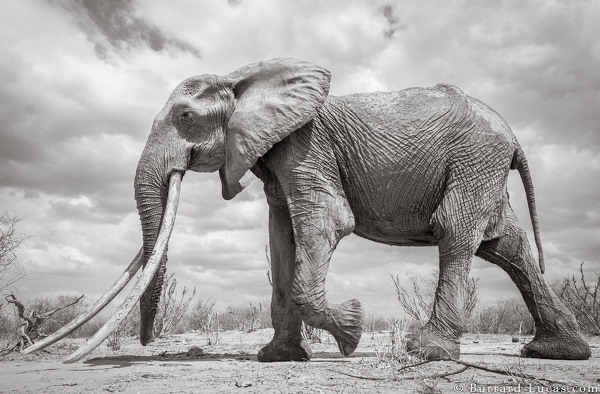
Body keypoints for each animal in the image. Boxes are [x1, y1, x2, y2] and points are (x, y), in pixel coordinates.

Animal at [27, 57, 592, 362]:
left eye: (185, 116)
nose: (145, 342)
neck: (242, 78)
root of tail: (514, 136)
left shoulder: (305, 146)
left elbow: (324, 224)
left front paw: (351, 331)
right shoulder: (277, 162)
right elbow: (281, 238)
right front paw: (277, 357)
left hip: (475, 160)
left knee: (457, 234)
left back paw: (426, 352)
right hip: (482, 168)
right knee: (507, 246)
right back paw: (558, 352)